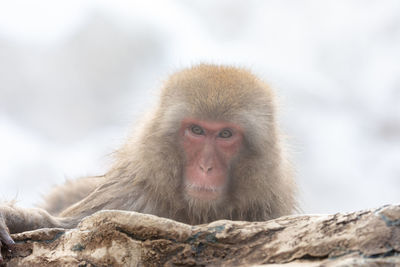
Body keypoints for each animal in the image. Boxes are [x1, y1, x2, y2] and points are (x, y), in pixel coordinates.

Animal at [0, 63, 296, 260]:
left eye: (225, 134)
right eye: (197, 130)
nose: (206, 168)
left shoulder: (267, 208)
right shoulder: (131, 198)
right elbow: (66, 227)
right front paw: (13, 218)